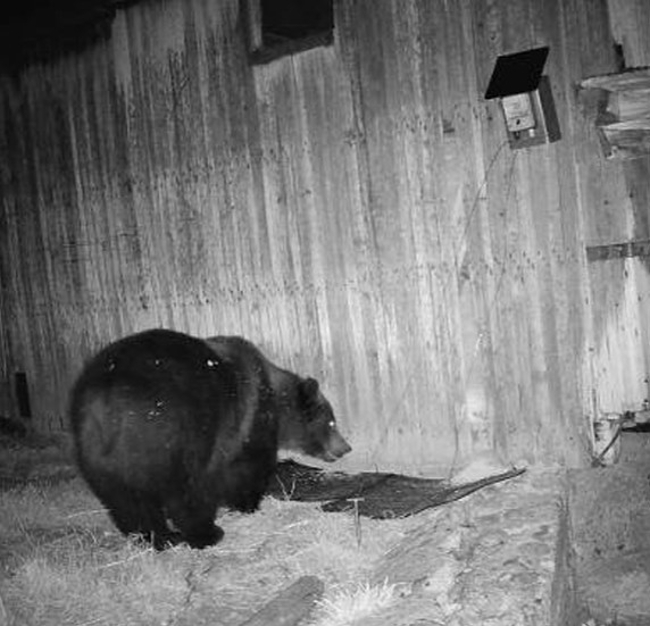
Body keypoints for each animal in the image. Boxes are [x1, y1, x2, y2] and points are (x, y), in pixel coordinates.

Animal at [69, 328, 351, 550]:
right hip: (176, 434)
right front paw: (247, 503)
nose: (346, 447)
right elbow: (247, 466)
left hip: (99, 454)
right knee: (185, 490)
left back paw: (157, 537)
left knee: (126, 499)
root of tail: (107, 397)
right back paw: (205, 533)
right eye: (331, 422)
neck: (274, 398)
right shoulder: (248, 422)